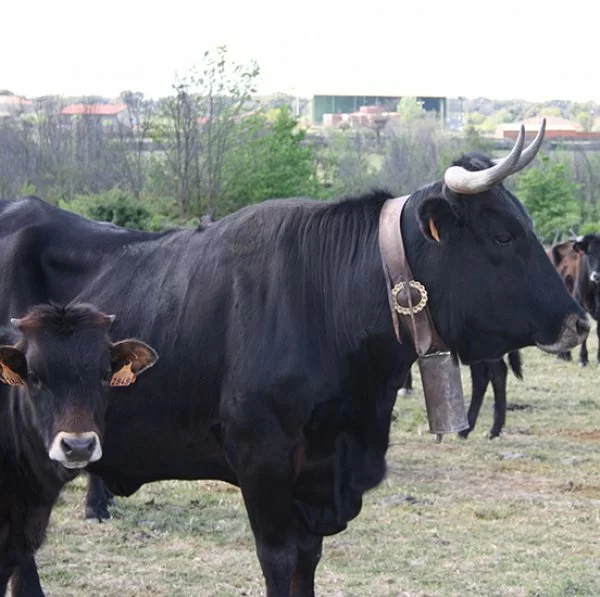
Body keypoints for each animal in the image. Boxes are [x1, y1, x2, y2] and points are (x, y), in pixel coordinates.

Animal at [548, 233, 600, 364]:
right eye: (589, 252)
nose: (596, 275)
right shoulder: (580, 306)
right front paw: (583, 358)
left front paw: (598, 358)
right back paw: (563, 355)